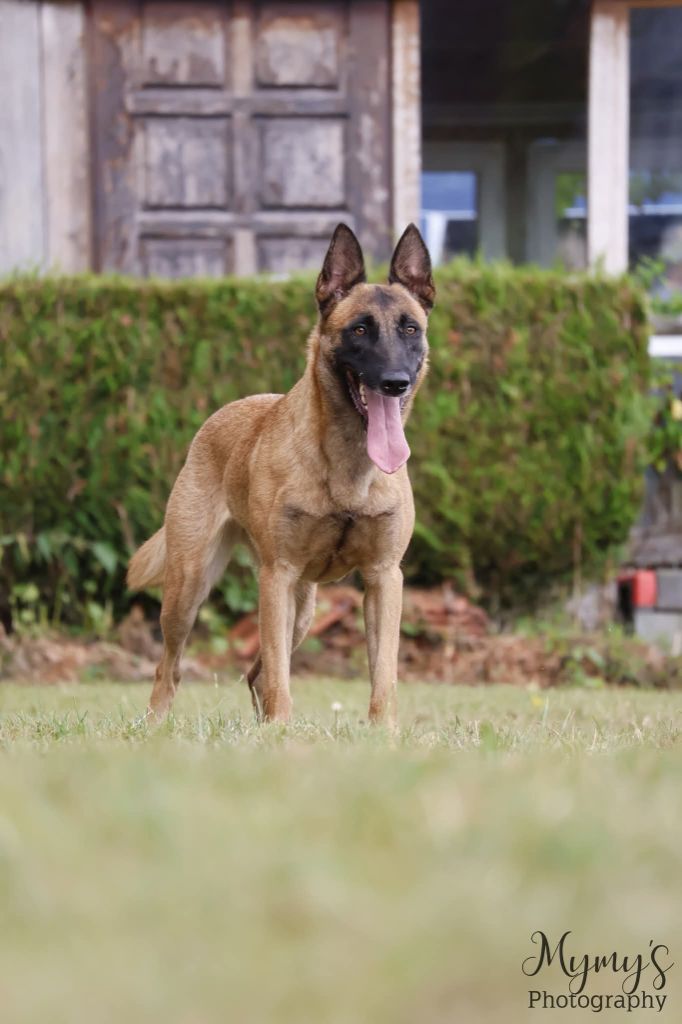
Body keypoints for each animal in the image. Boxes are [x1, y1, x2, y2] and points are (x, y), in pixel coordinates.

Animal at [127, 223, 435, 724]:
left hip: (304, 608)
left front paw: (383, 733)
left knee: (258, 673)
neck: (348, 466)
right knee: (171, 669)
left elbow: (384, 677)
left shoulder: (384, 579)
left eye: (411, 328)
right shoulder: (278, 576)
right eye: (360, 329)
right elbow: (280, 680)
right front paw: (282, 732)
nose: (395, 382)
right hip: (190, 587)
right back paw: (158, 725)